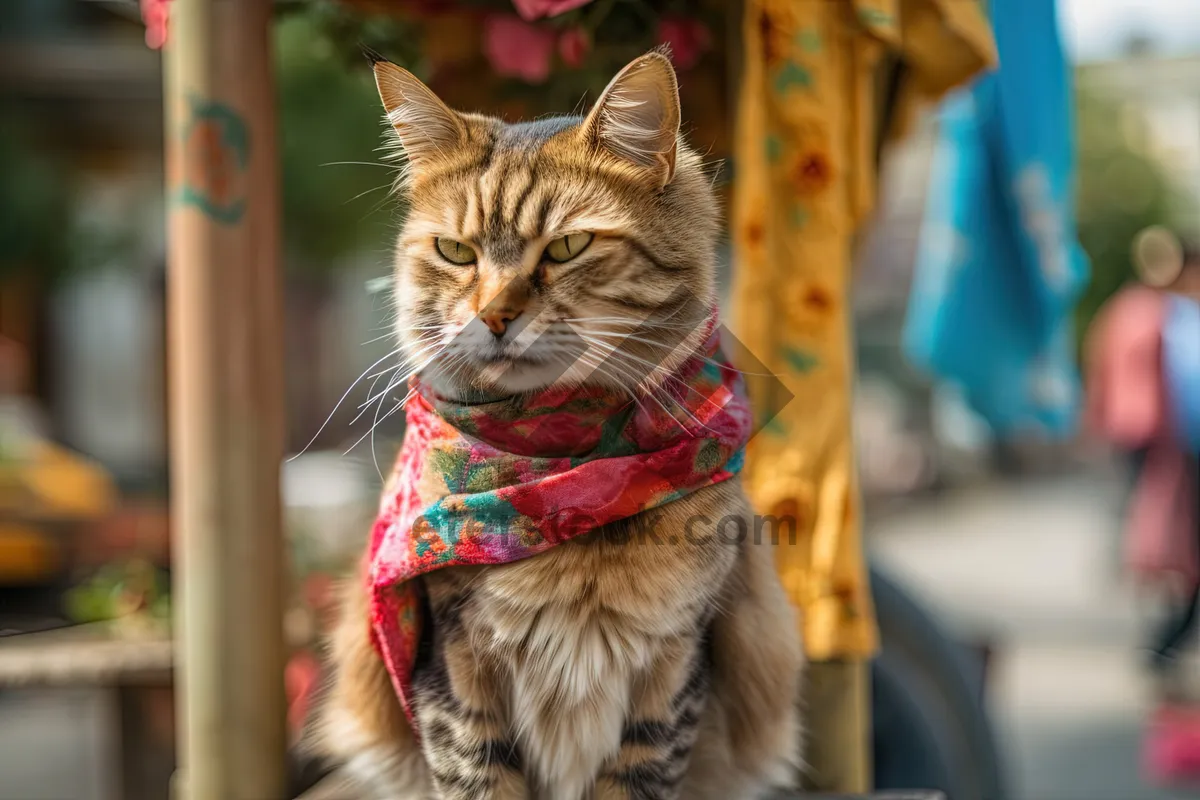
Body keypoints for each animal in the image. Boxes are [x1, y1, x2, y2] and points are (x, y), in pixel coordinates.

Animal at [319, 51, 801, 800]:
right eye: (456, 252)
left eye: (568, 247)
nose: (493, 316)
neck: (560, 473)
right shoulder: (453, 668)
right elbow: (478, 776)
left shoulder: (671, 667)